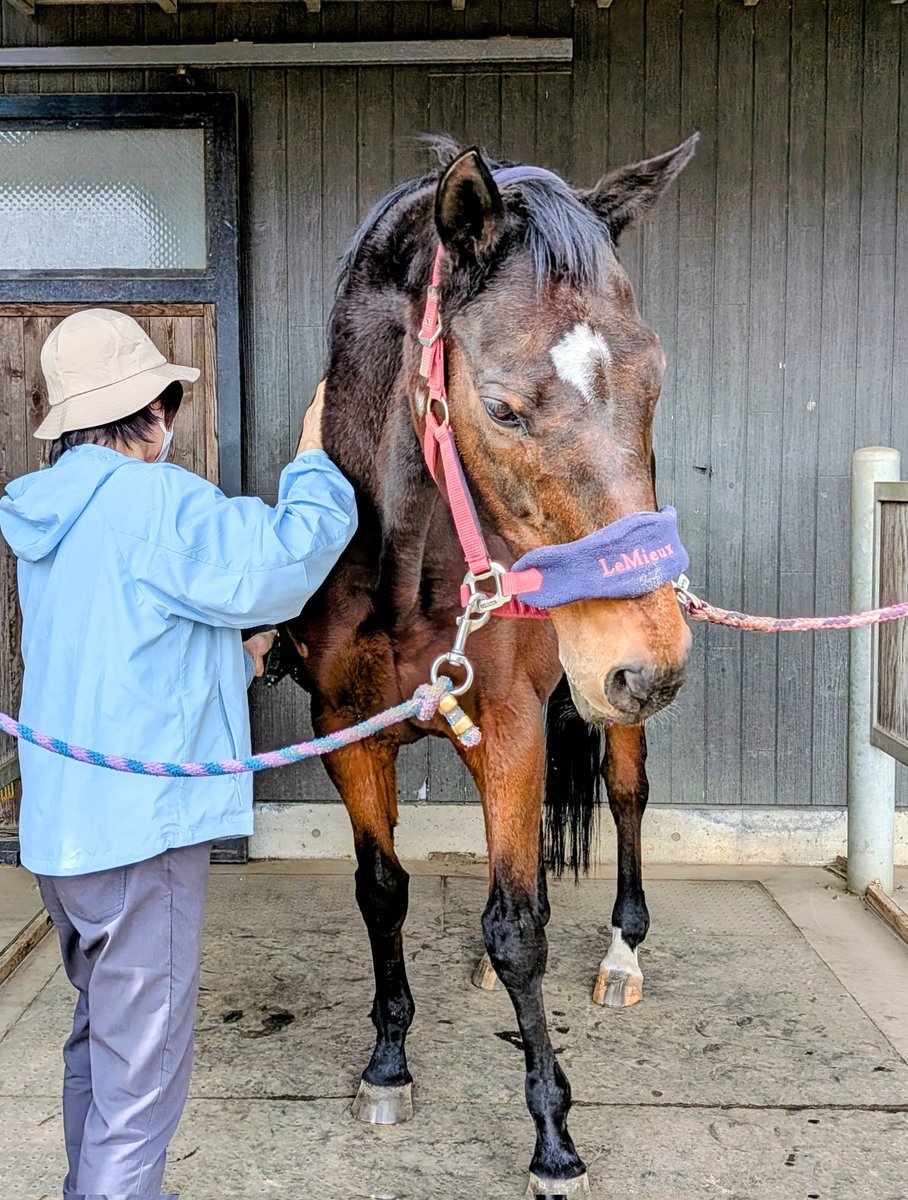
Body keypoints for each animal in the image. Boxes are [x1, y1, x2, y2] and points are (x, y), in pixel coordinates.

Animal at [282, 135, 697, 1196]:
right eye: (504, 409)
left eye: (654, 380)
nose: (650, 665)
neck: (401, 564)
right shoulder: (348, 729)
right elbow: (382, 890)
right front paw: (388, 1062)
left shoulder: (507, 727)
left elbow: (518, 933)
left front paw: (553, 1139)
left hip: (604, 713)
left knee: (625, 803)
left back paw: (623, 954)